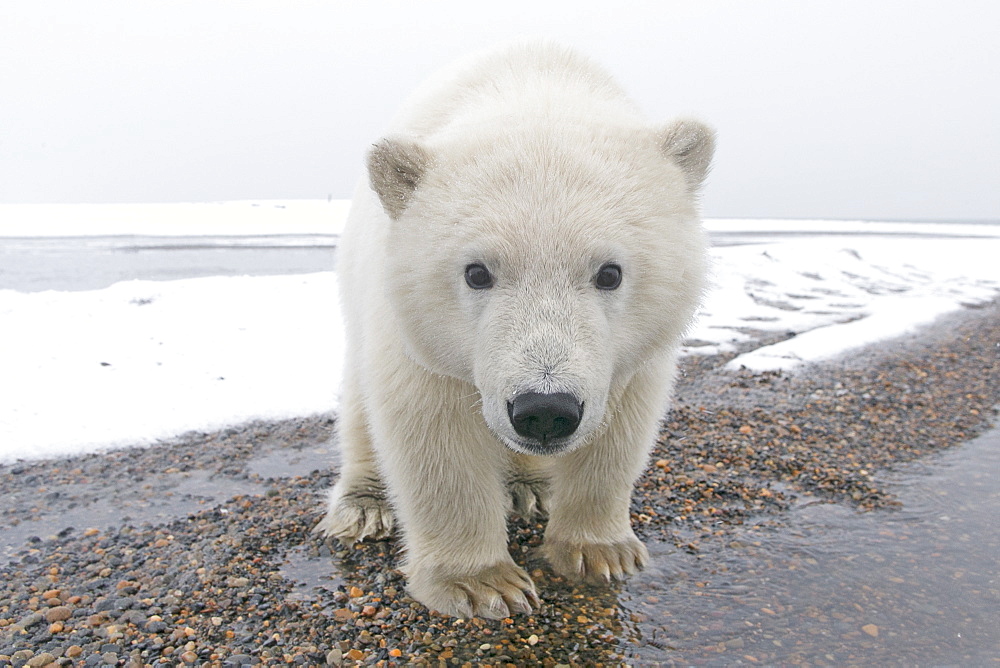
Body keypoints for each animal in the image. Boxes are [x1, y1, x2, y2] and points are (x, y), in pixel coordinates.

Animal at [316, 41, 716, 620]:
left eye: (610, 272)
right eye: (477, 272)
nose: (545, 409)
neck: (532, 80)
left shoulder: (632, 356)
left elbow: (620, 429)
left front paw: (602, 551)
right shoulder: (414, 334)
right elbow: (434, 433)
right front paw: (482, 582)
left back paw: (529, 486)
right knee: (359, 405)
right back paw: (364, 504)